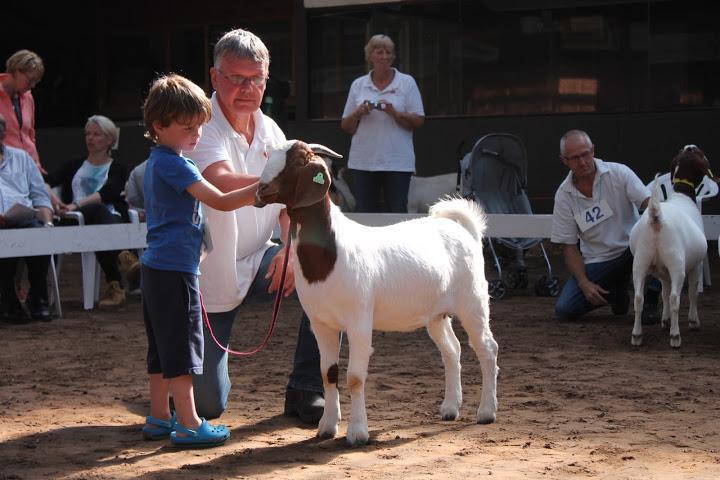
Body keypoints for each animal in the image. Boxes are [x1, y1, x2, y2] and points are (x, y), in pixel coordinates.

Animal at [256, 141, 498, 448]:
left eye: (298, 162)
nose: (260, 189)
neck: (331, 251)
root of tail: (464, 228)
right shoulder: (321, 324)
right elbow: (328, 373)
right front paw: (326, 427)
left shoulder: (359, 321)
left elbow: (355, 377)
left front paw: (357, 433)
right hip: (436, 314)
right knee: (452, 350)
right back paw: (450, 408)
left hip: (473, 302)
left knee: (487, 349)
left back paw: (487, 411)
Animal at [632, 144, 716, 346]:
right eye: (700, 153)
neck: (681, 195)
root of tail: (657, 218)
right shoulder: (696, 265)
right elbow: (692, 292)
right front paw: (693, 321)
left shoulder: (662, 271)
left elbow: (663, 292)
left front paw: (665, 320)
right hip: (677, 262)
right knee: (675, 298)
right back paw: (675, 336)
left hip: (640, 261)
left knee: (638, 298)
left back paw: (637, 335)